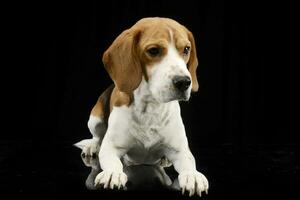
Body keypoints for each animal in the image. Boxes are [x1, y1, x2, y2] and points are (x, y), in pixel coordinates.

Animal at [75, 17, 209, 197]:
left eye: (186, 49)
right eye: (153, 50)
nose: (184, 82)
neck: (150, 107)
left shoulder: (180, 150)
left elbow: (189, 163)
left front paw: (192, 175)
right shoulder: (112, 147)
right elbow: (113, 162)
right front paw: (112, 174)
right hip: (94, 118)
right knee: (97, 136)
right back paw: (92, 146)